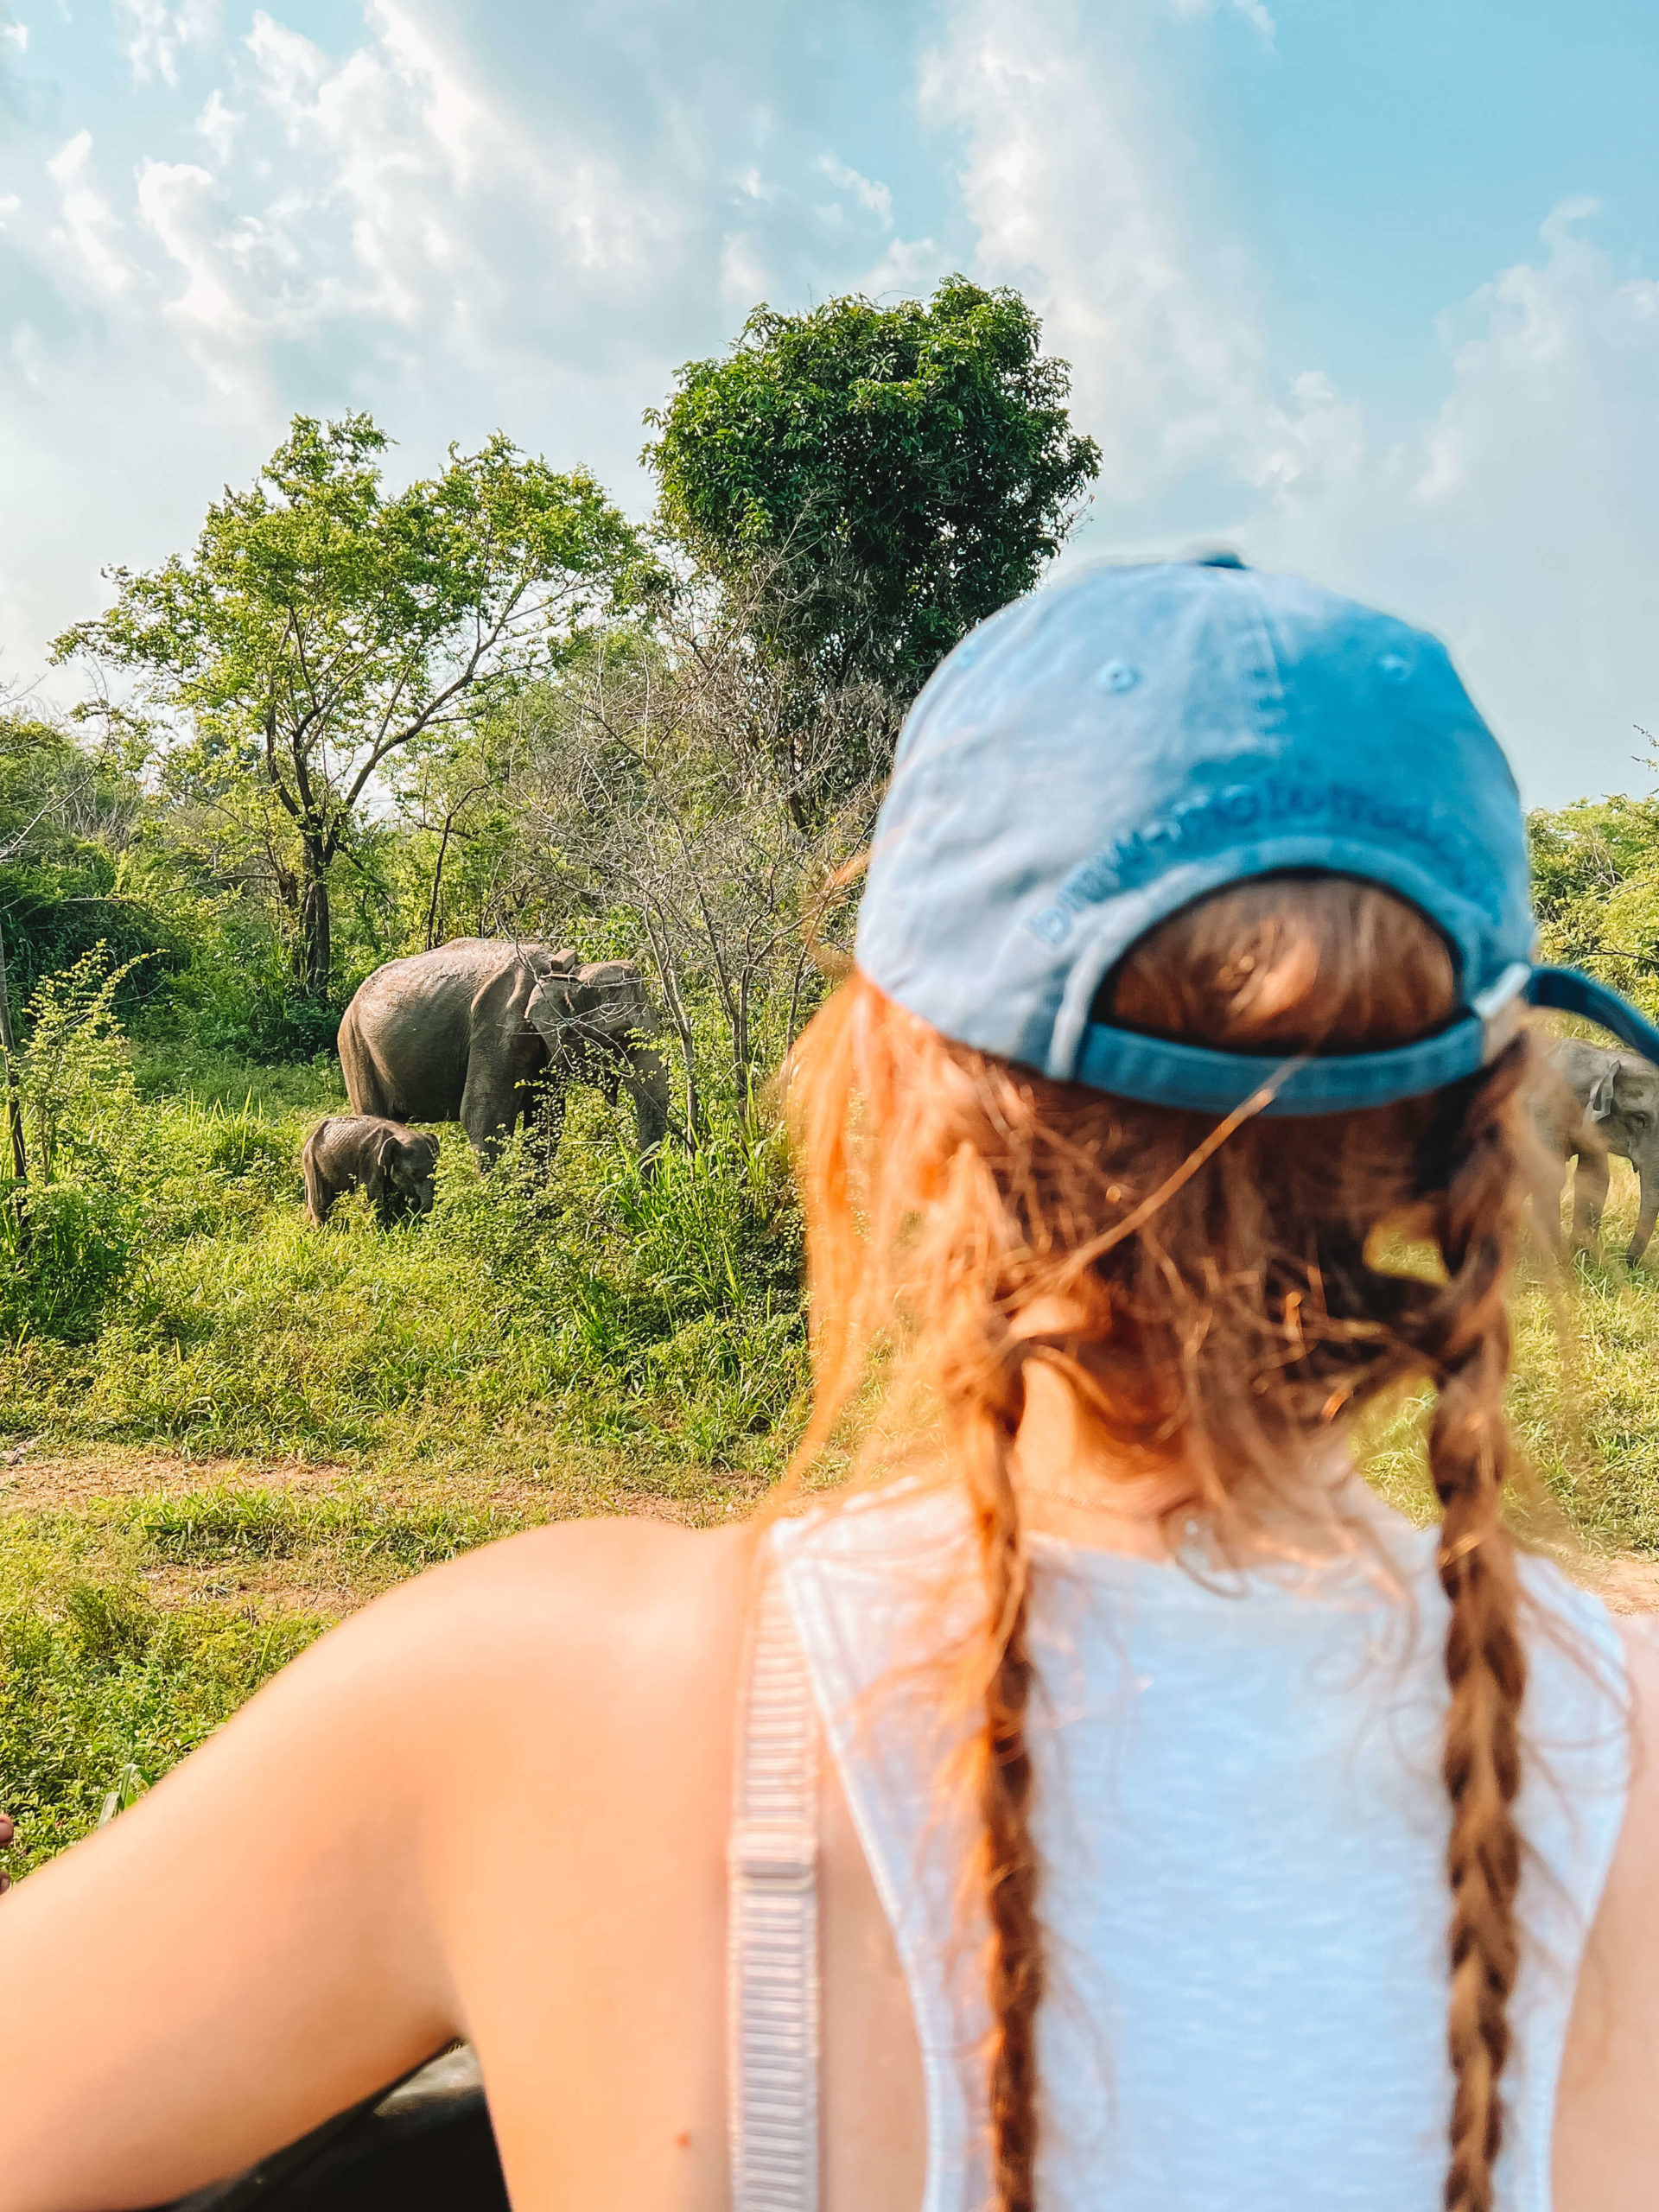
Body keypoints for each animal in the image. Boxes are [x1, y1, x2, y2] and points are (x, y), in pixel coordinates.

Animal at [302, 1123, 437, 1230]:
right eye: (413, 1173)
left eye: (435, 1169)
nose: (415, 1203)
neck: (400, 1133)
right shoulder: (371, 1158)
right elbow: (370, 1196)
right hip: (313, 1162)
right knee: (321, 1201)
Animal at [334, 938, 672, 1176]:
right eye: (621, 1037)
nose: (643, 1195)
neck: (561, 971)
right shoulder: (498, 1031)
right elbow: (484, 1118)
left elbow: (547, 1121)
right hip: (354, 1048)